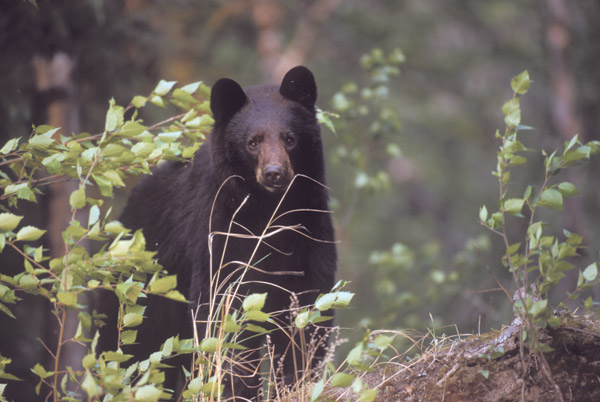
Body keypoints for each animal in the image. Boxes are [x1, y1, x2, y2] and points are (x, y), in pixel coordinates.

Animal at [113, 66, 338, 398]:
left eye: (290, 138)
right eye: (253, 142)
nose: (275, 173)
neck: (267, 211)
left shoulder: (310, 230)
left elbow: (308, 314)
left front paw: (297, 384)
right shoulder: (220, 231)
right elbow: (223, 311)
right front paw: (236, 389)